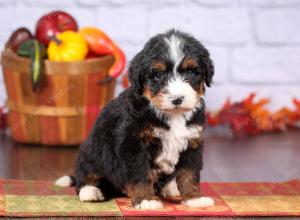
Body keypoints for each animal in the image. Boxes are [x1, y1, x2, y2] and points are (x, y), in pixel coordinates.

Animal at [56, 29, 214, 210]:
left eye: (190, 72)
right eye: (158, 74)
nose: (177, 99)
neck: (170, 114)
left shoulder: (192, 142)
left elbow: (189, 173)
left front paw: (194, 198)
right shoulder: (134, 144)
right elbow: (141, 174)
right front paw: (146, 199)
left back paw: (170, 188)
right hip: (91, 151)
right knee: (87, 175)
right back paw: (91, 191)